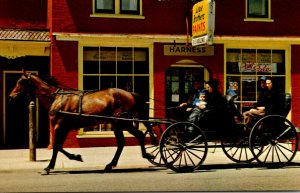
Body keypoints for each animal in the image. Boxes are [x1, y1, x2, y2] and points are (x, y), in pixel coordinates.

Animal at [8, 70, 155, 174]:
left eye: (20, 81)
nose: (10, 97)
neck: (56, 97)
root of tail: (130, 94)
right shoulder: (64, 127)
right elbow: (59, 146)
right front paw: (75, 156)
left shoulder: (60, 126)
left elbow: (56, 146)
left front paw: (49, 166)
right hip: (117, 123)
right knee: (122, 142)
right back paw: (111, 164)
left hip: (122, 122)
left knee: (138, 135)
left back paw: (147, 154)